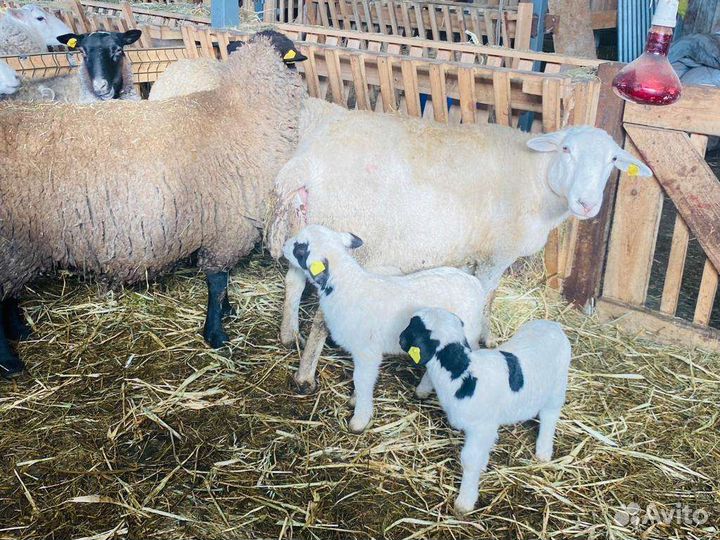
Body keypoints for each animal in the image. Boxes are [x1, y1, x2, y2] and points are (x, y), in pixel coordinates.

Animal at [0, 38, 305, 378]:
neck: (241, 110)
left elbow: (222, 283)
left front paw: (226, 312)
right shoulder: (226, 228)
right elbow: (216, 283)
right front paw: (216, 334)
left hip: (16, 247)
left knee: (7, 297)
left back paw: (20, 332)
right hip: (13, 243)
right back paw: (10, 362)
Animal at [267, 101, 652, 394]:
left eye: (613, 161)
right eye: (567, 149)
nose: (587, 204)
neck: (536, 178)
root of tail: (305, 162)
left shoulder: (472, 256)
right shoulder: (497, 254)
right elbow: (486, 299)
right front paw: (483, 343)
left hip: (306, 228)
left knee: (293, 280)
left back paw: (288, 335)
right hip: (351, 240)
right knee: (320, 316)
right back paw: (305, 376)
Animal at [282, 225, 489, 433]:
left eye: (300, 249)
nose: (283, 247)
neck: (348, 285)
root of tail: (476, 284)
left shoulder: (367, 351)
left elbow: (362, 380)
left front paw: (359, 420)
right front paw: (355, 400)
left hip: (468, 332)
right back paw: (422, 391)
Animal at [399, 308, 571, 514]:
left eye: (413, 324)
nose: (399, 338)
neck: (463, 373)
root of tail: (552, 324)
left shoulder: (481, 427)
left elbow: (470, 459)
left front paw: (465, 501)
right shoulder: (486, 429)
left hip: (558, 384)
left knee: (549, 415)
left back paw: (543, 452)